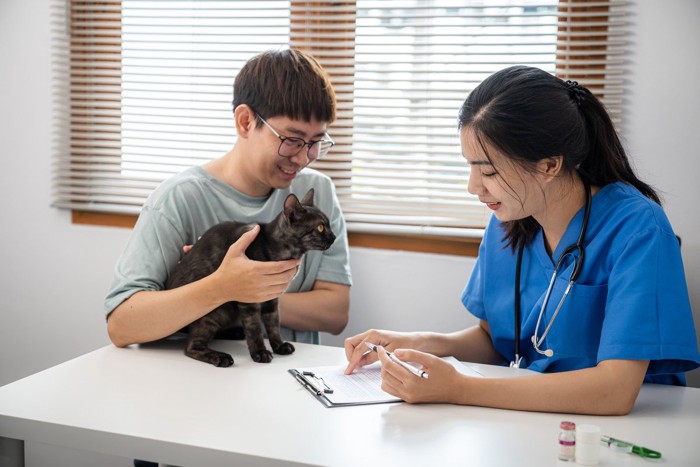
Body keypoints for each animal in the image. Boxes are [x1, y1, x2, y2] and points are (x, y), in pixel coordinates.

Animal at [167, 188, 336, 368]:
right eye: (320, 227)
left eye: (328, 225)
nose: (334, 237)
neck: (284, 251)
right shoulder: (249, 299)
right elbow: (255, 328)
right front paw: (260, 353)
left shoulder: (272, 299)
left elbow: (273, 324)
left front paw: (279, 346)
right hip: (216, 311)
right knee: (191, 346)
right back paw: (220, 357)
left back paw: (234, 332)